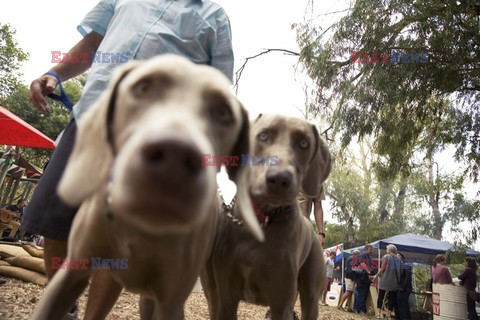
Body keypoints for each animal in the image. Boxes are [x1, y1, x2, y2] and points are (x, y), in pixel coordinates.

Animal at [31, 55, 262, 320]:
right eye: (143, 87)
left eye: (223, 112)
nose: (174, 159)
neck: (141, 226)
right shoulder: (72, 273)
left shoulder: (171, 301)